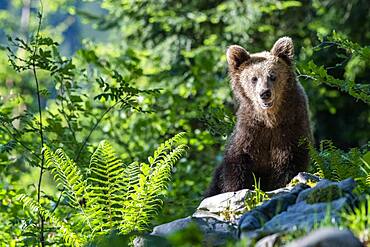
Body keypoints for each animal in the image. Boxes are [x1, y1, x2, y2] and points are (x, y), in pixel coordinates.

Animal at [205, 37, 312, 197]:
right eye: (253, 78)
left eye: (272, 76)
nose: (264, 93)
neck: (270, 119)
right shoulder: (251, 130)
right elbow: (237, 165)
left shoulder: (291, 125)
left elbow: (289, 162)